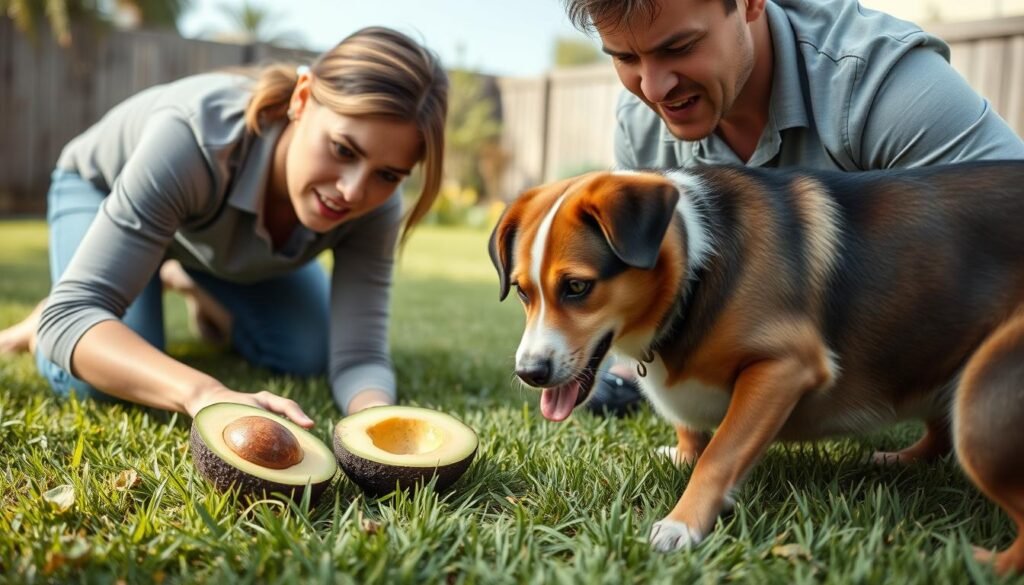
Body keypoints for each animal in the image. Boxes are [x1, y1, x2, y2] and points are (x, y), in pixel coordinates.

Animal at [487, 162, 1024, 573]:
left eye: (577, 288)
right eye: (523, 292)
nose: (529, 373)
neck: (694, 274)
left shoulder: (786, 366)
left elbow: (720, 454)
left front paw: (683, 523)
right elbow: (695, 436)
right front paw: (683, 453)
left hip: (983, 397)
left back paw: (980, 563)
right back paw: (901, 460)